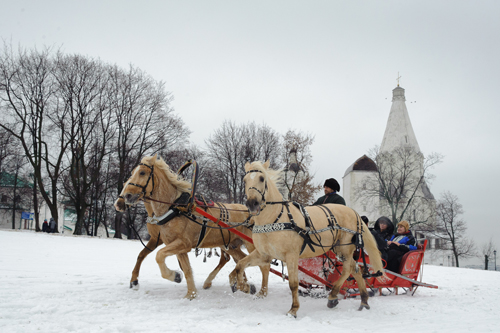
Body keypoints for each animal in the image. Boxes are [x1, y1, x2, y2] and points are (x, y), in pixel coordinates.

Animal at [114, 155, 270, 298]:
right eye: (132, 172)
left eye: (142, 172)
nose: (125, 198)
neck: (176, 207)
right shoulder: (178, 247)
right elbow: (187, 269)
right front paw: (191, 294)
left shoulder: (183, 243)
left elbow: (159, 256)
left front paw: (175, 276)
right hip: (231, 245)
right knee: (241, 261)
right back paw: (243, 285)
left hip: (252, 245)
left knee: (264, 265)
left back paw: (260, 291)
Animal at [229, 161, 384, 316]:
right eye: (245, 180)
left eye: (261, 178)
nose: (252, 204)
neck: (274, 219)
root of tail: (354, 212)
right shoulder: (264, 255)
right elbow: (240, 265)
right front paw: (243, 286)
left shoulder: (291, 255)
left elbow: (293, 283)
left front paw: (293, 309)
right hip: (339, 249)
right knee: (356, 269)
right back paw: (363, 301)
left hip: (345, 248)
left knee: (347, 270)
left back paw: (333, 296)